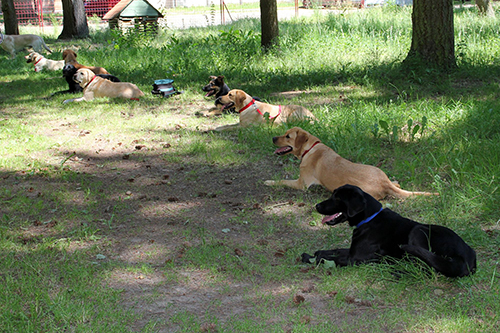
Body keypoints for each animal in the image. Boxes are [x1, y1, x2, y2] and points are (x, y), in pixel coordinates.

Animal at [266, 126, 438, 200]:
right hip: (378, 171)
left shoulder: (301, 184)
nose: (273, 138)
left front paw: (269, 181)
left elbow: (281, 181)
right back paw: (395, 182)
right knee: (397, 184)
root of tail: (384, 183)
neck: (310, 148)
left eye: (288, 136)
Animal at [300, 183, 476, 276]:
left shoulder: (355, 258)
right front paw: (318, 252)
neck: (370, 219)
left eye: (337, 198)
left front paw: (309, 257)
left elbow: (329, 258)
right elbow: (334, 250)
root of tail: (466, 259)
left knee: (424, 266)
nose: (317, 206)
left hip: (418, 230)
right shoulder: (352, 251)